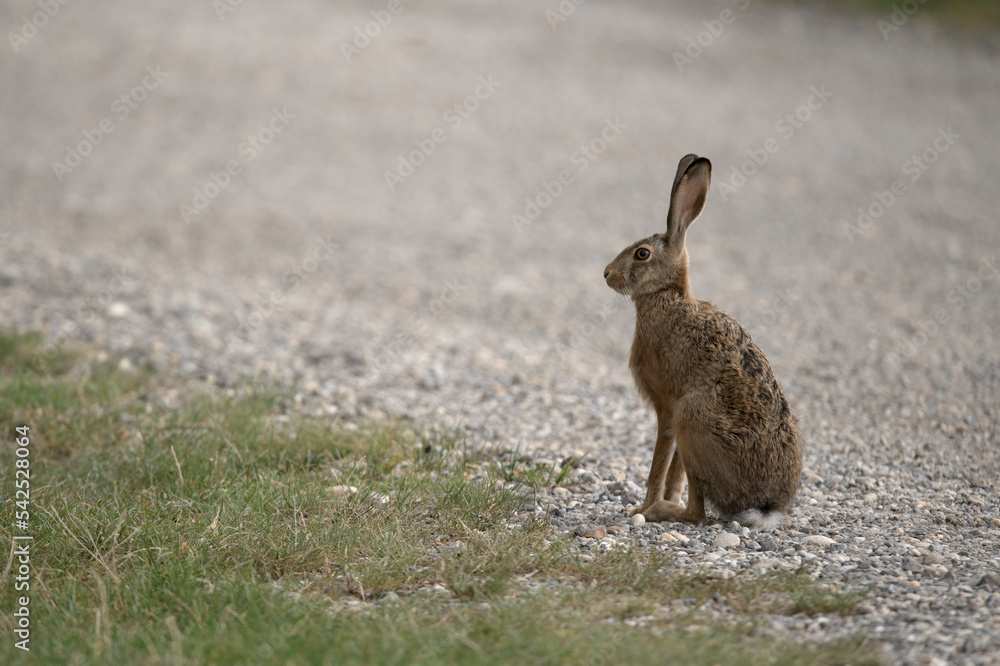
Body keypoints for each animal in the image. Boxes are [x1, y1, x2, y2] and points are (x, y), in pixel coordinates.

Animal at [603, 154, 801, 529]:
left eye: (641, 254)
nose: (607, 274)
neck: (669, 294)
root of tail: (767, 505)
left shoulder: (667, 407)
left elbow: (660, 461)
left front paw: (641, 508)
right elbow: (675, 471)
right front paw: (660, 499)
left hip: (693, 417)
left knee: (698, 514)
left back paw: (662, 511)